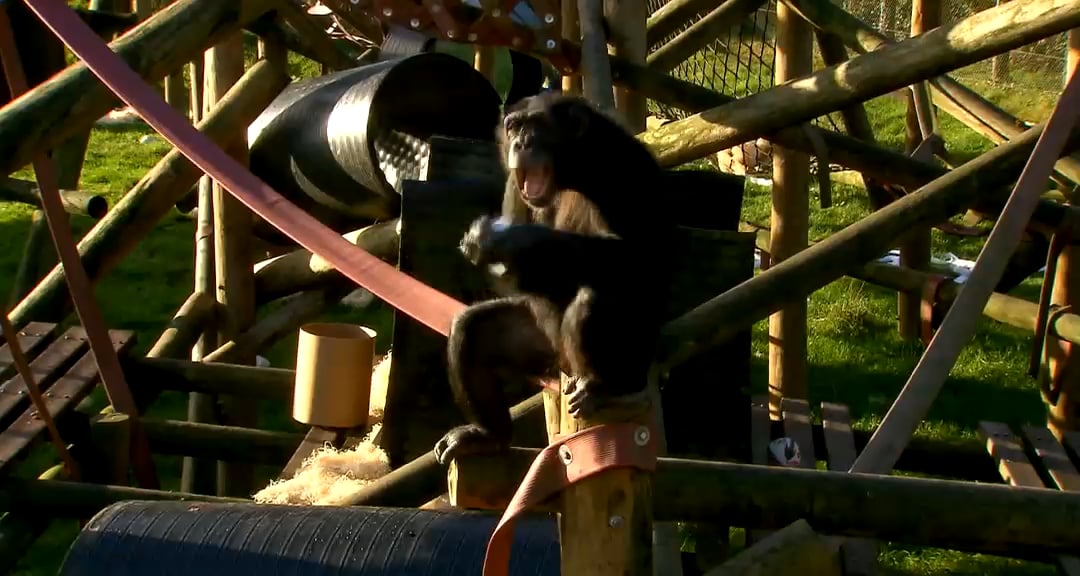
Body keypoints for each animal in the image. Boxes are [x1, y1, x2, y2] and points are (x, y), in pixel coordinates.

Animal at [433, 92, 675, 465]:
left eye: (536, 125)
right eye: (513, 126)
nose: (521, 142)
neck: (571, 170)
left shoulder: (624, 165)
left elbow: (634, 255)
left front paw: (511, 241)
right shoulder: (514, 186)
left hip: (635, 355)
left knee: (596, 297)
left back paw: (608, 390)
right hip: (546, 350)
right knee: (472, 329)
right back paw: (487, 436)